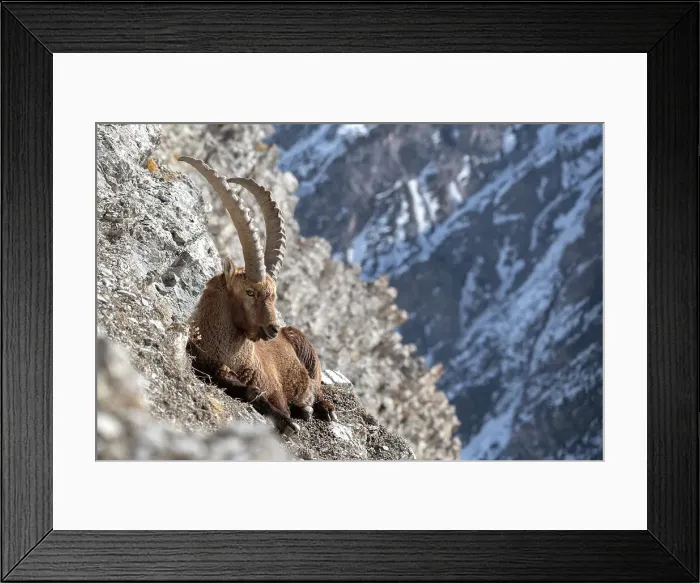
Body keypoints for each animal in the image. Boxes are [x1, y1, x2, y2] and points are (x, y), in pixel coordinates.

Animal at [179, 156, 337, 436]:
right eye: (250, 291)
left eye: (274, 296)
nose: (273, 329)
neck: (233, 356)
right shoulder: (208, 367)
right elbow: (250, 392)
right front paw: (287, 421)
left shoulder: (273, 385)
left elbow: (277, 400)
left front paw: (290, 420)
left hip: (308, 356)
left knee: (317, 388)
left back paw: (323, 409)